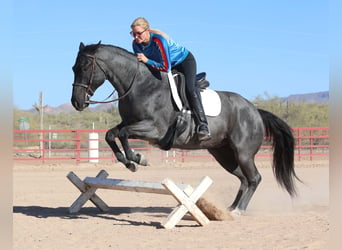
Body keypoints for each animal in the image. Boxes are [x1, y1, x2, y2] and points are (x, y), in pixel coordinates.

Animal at [71, 41, 300, 215]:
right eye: (74, 68)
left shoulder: (154, 130)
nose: (77, 102)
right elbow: (111, 134)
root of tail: (255, 110)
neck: (140, 85)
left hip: (243, 152)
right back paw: (229, 208)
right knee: (243, 179)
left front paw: (137, 158)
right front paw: (128, 162)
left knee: (254, 178)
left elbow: (123, 134)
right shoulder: (130, 122)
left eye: (85, 67)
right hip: (223, 154)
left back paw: (238, 210)